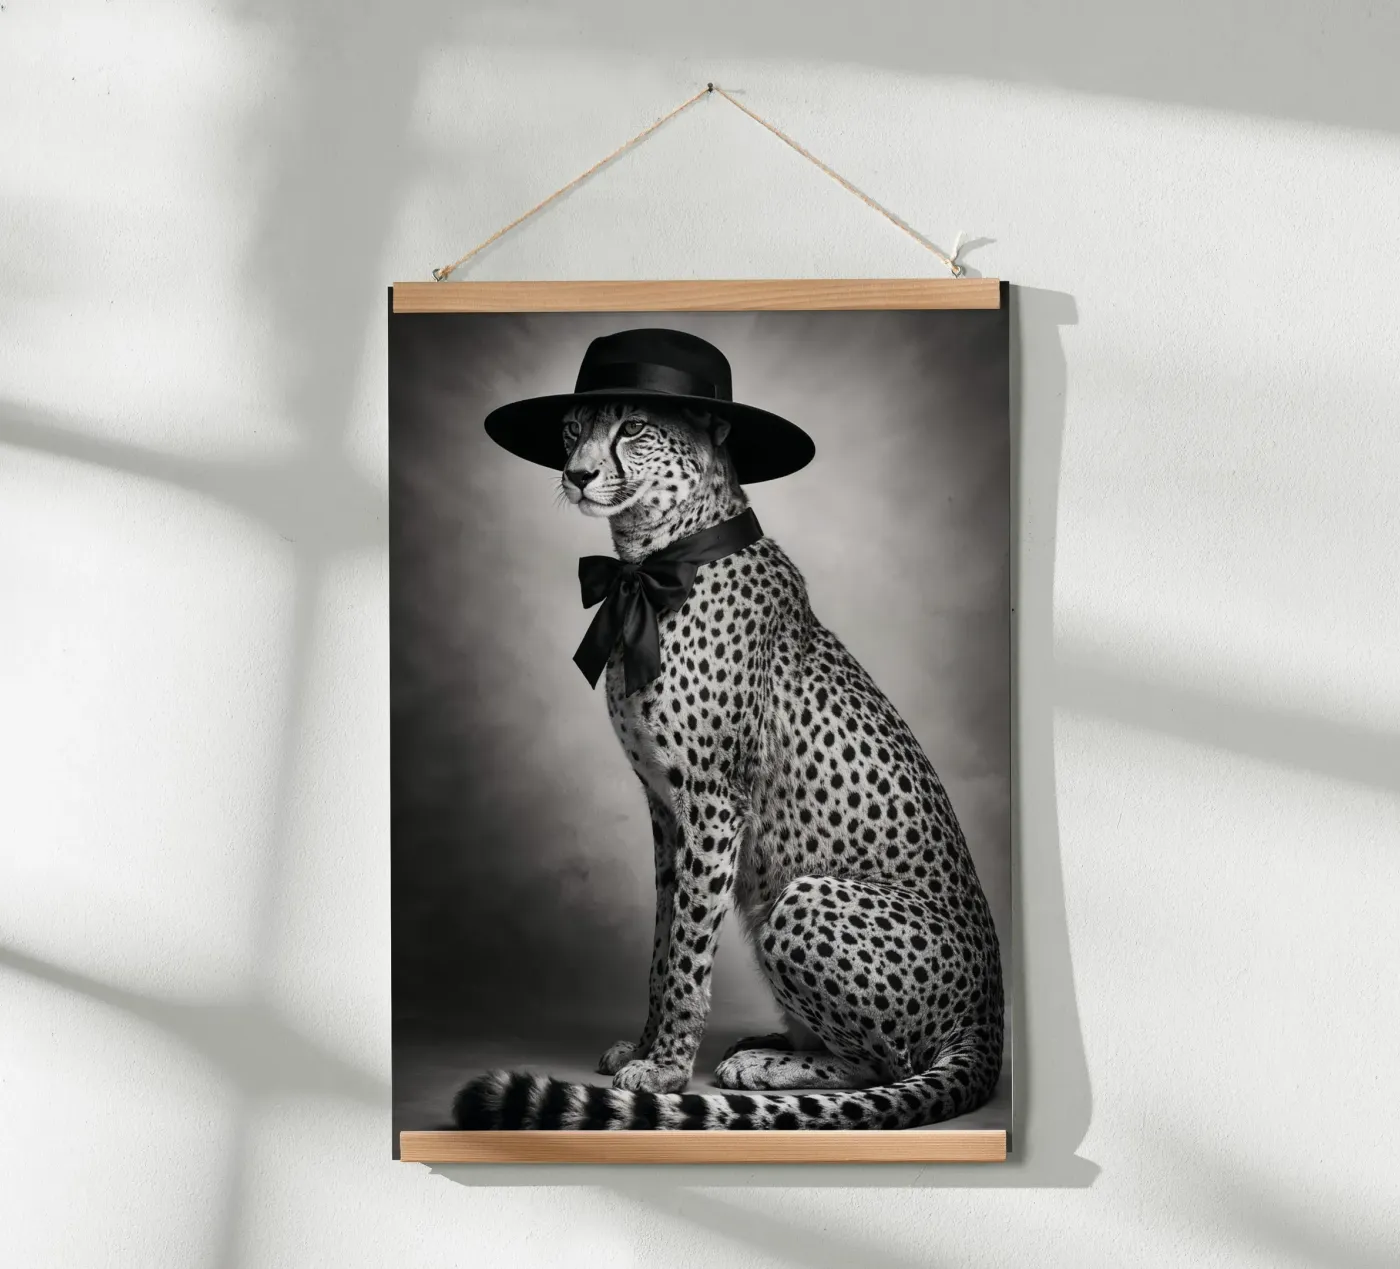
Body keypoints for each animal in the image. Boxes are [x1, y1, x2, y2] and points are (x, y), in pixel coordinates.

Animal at [454, 399, 1004, 1130]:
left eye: (634, 425)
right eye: (573, 424)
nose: (577, 473)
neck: (655, 563)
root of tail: (990, 1019)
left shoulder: (712, 804)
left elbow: (690, 948)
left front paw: (665, 1068)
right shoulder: (666, 809)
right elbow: (665, 937)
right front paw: (648, 1044)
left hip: (804, 898)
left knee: (886, 1064)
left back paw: (771, 1065)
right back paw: (772, 1041)